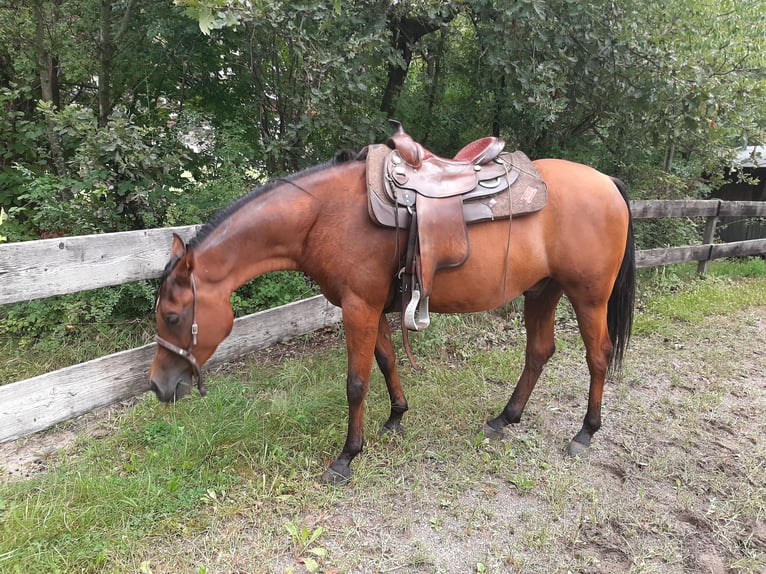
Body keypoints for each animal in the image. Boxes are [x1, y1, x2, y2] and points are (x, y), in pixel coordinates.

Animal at [149, 144, 635, 484]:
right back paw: (505, 417)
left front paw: (347, 456)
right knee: (539, 350)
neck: (325, 216)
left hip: (588, 297)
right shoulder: (372, 307)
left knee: (597, 356)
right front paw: (396, 416)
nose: (157, 387)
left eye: (172, 317)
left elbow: (356, 382)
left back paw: (585, 432)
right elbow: (386, 361)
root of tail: (608, 182)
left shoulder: (358, 307)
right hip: (542, 291)